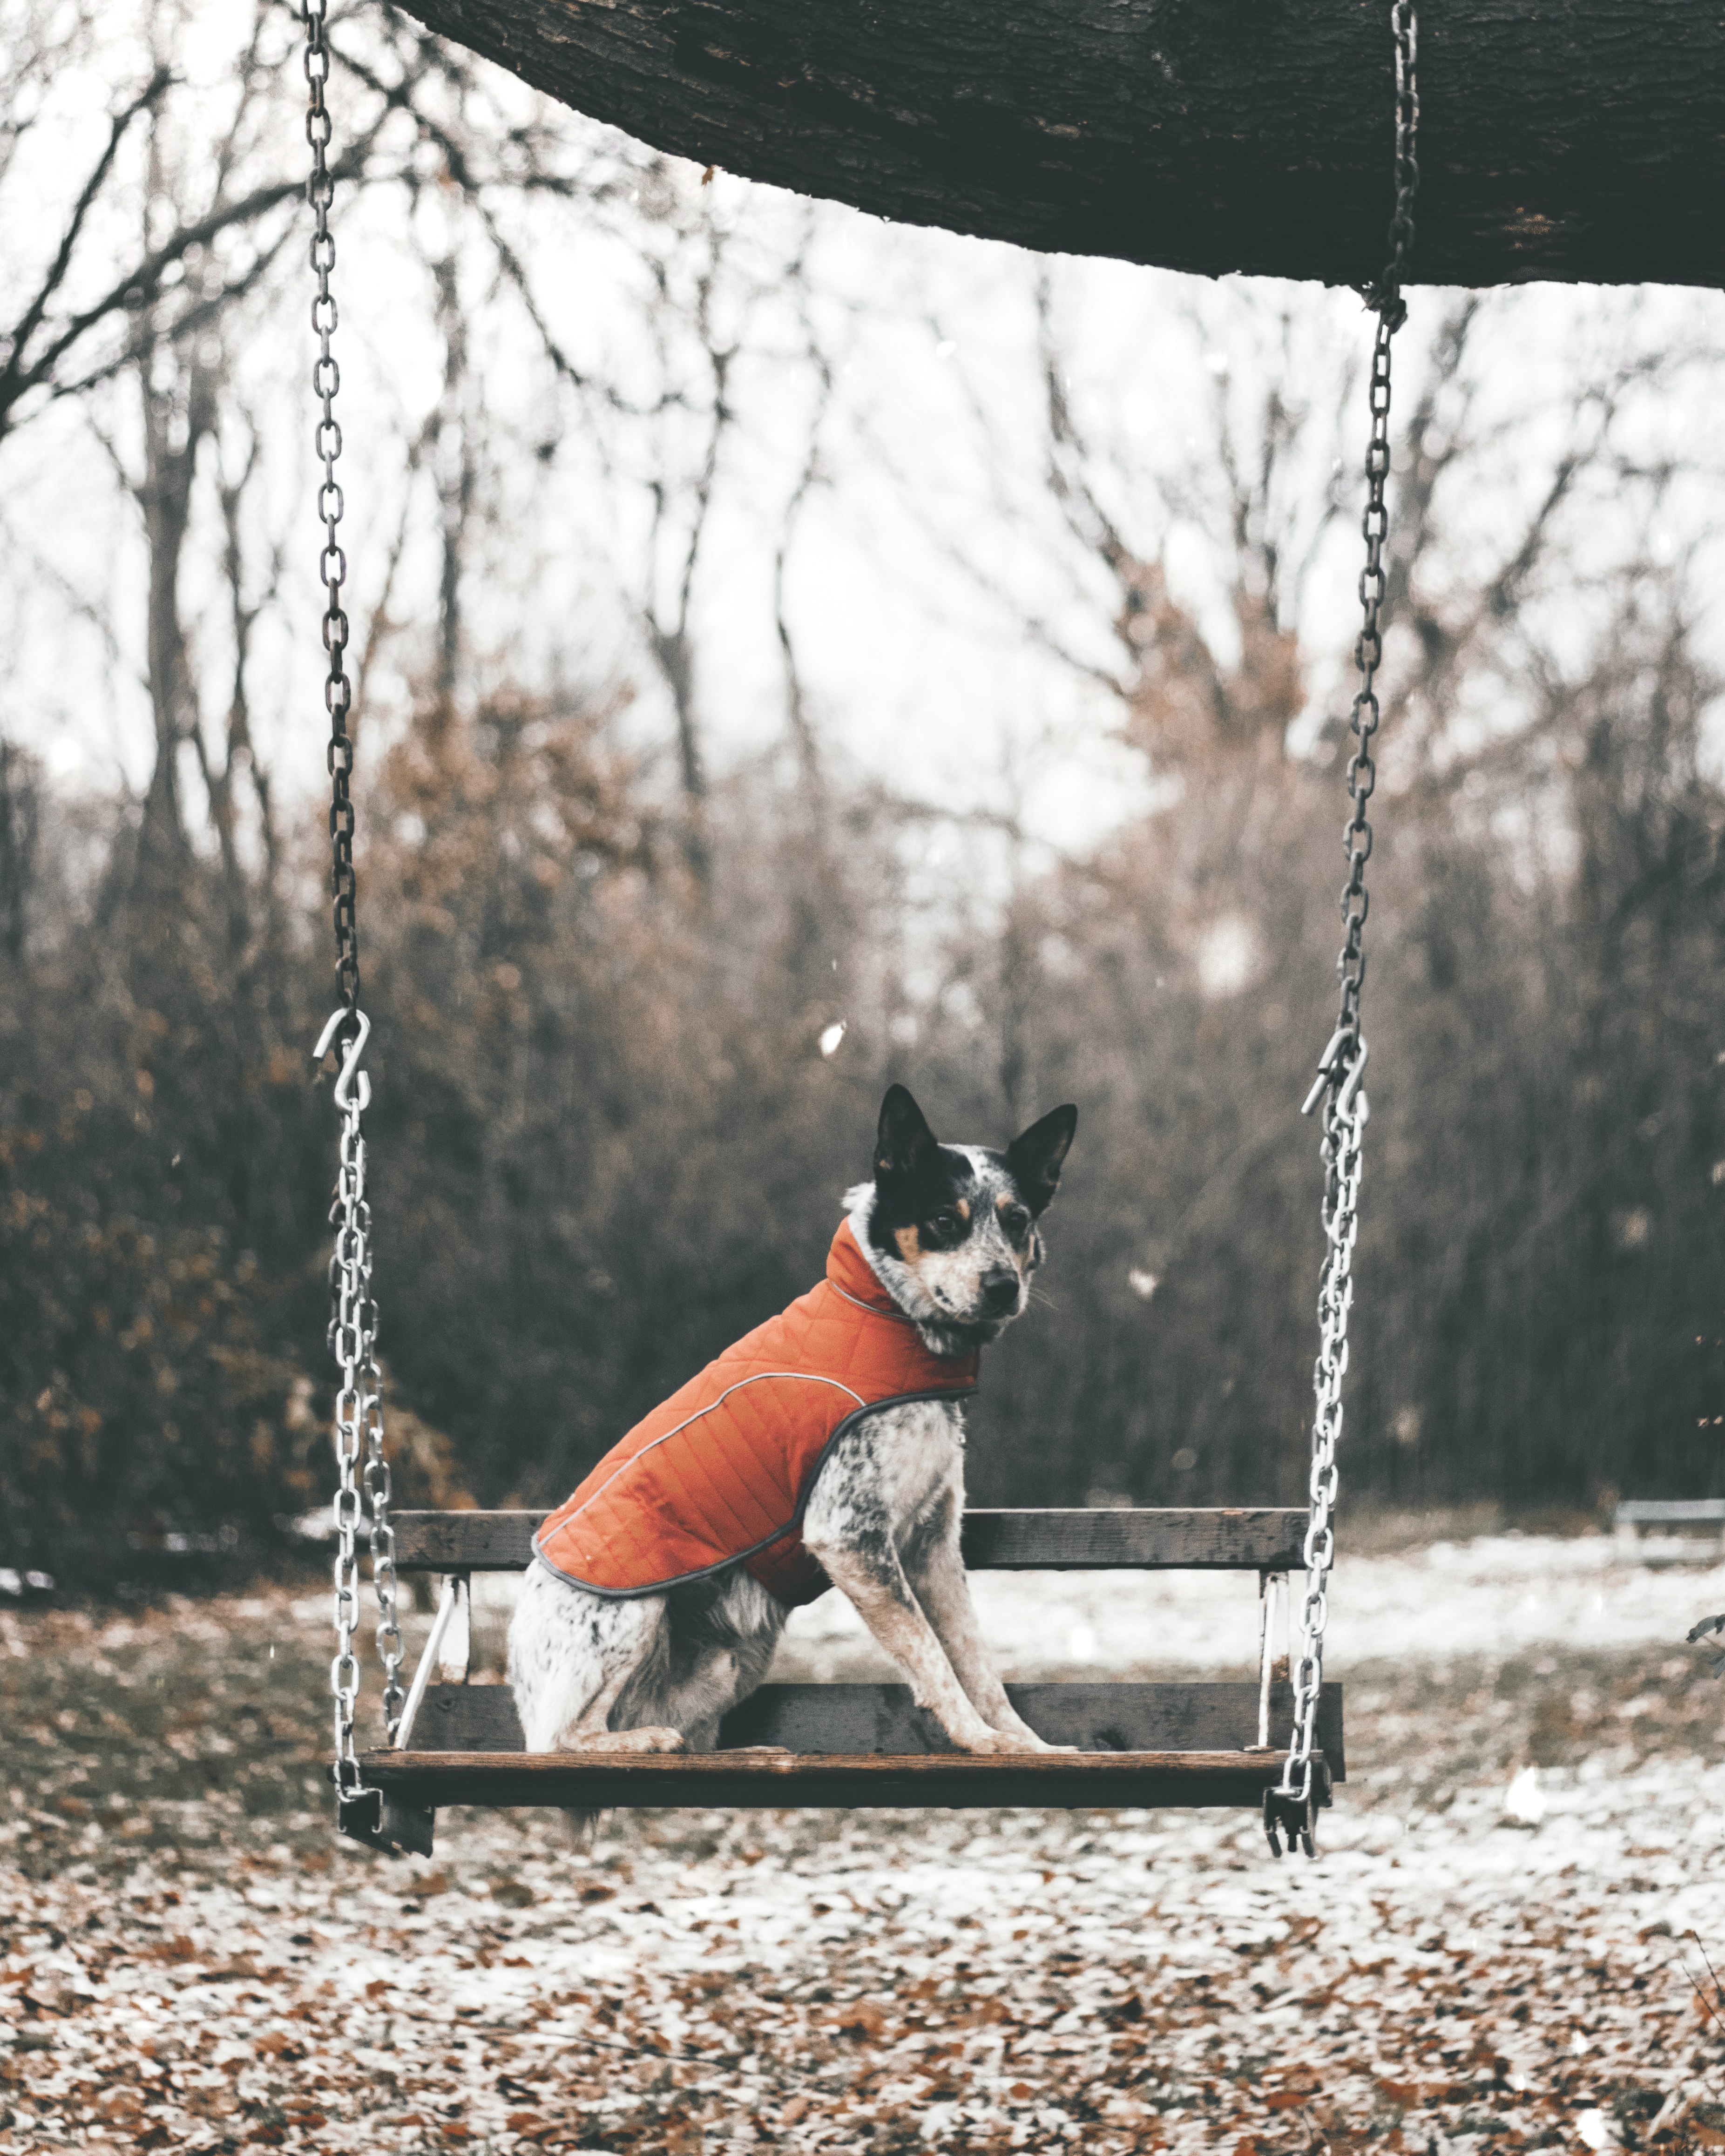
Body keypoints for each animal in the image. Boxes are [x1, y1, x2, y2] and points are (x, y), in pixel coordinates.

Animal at [508, 1087, 1078, 1759]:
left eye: (1017, 1219)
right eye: (944, 1219)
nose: (1003, 1285)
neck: (889, 1319)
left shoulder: (933, 1544)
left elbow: (976, 1659)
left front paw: (1024, 1742)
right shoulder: (849, 1535)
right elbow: (932, 1656)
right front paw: (976, 1737)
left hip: (736, 1656)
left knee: (689, 1734)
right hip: (632, 1605)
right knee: (567, 1734)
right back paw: (645, 1740)